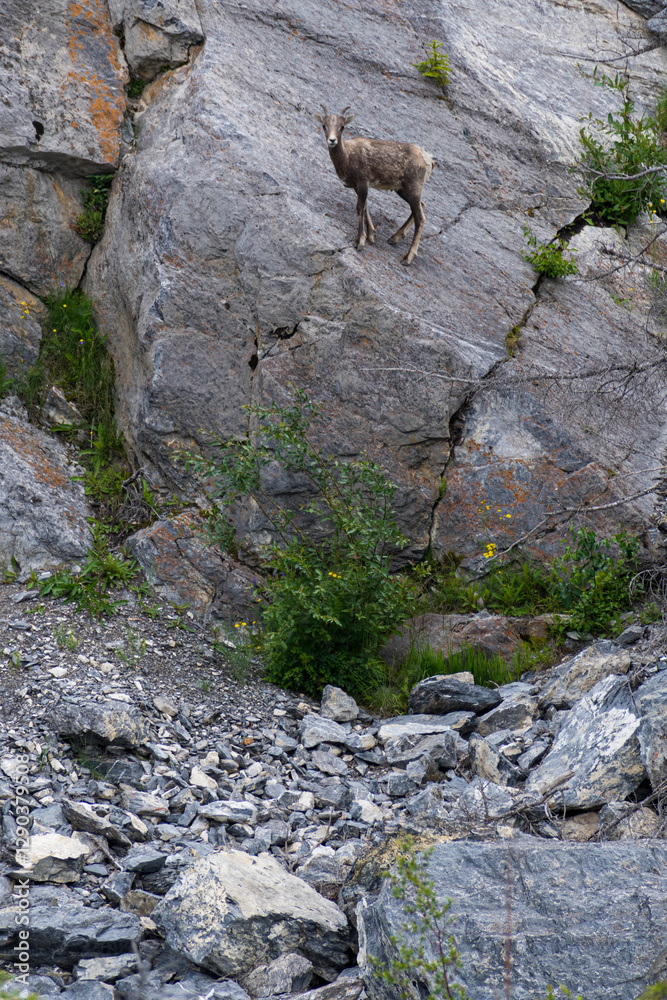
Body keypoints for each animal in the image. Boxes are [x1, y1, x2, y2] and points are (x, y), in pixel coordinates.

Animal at [314, 105, 434, 266]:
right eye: (324, 125)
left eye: (342, 127)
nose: (332, 140)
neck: (347, 157)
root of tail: (429, 160)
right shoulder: (357, 187)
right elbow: (365, 208)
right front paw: (371, 236)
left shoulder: (363, 183)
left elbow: (360, 208)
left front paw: (360, 242)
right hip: (402, 190)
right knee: (421, 206)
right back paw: (394, 238)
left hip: (412, 188)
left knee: (420, 218)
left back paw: (407, 258)